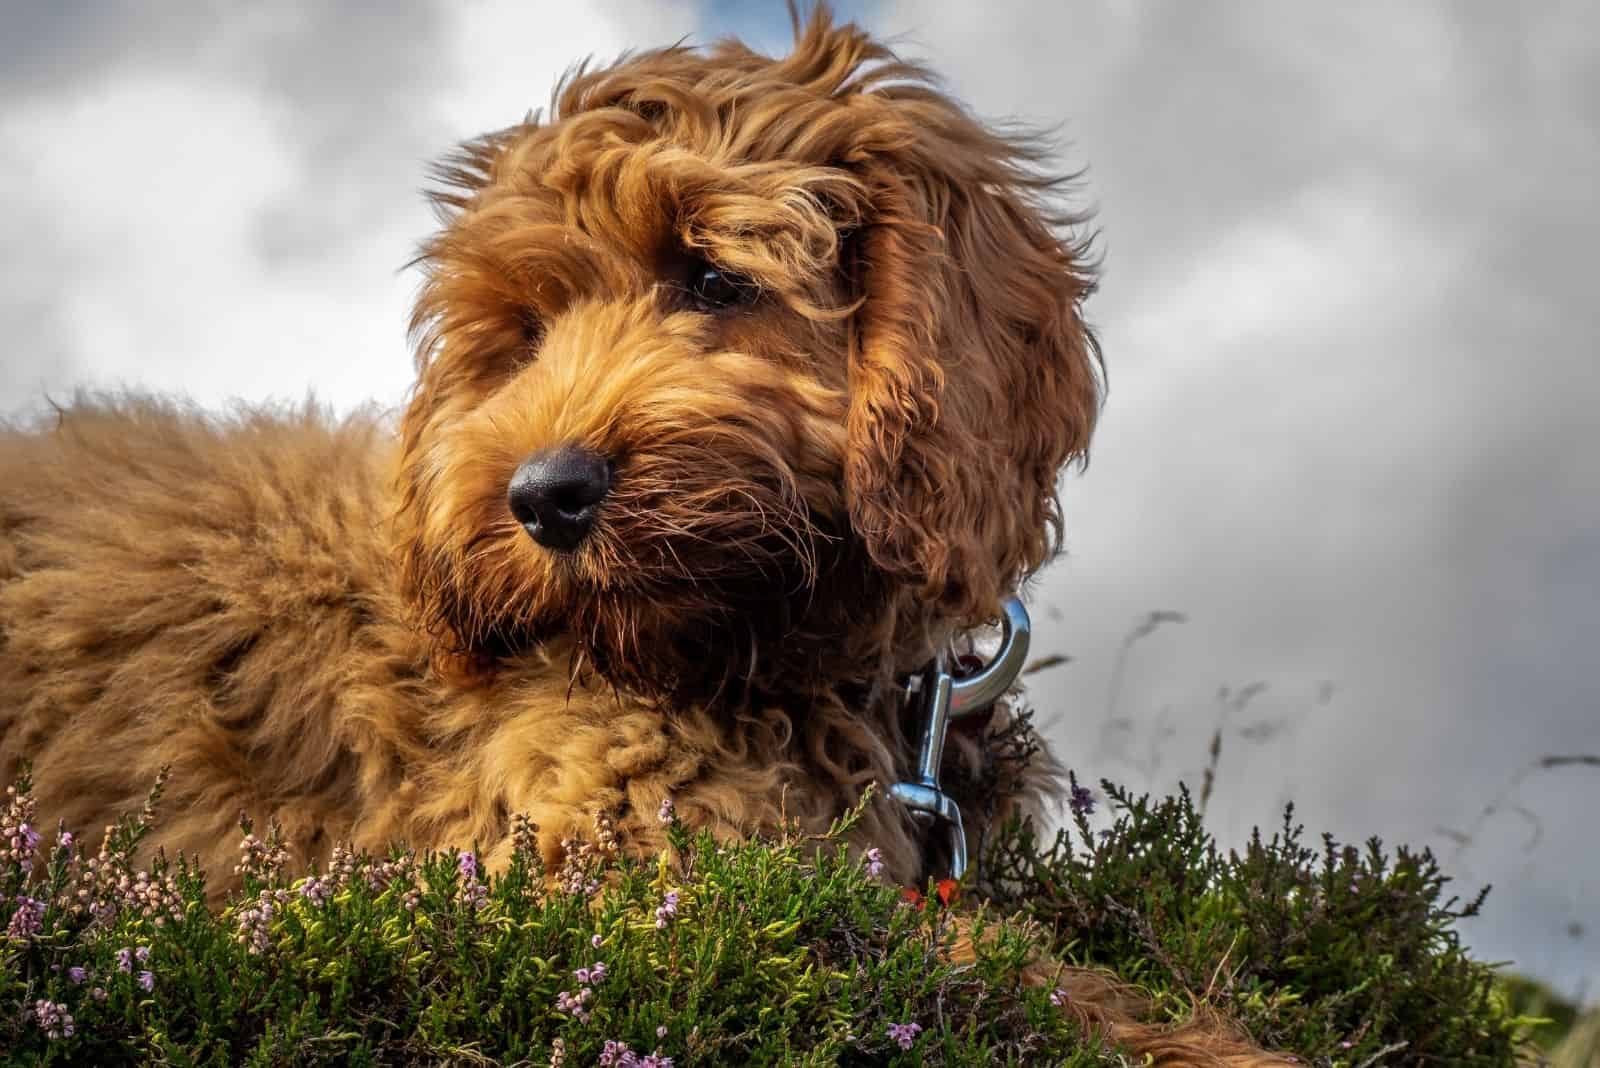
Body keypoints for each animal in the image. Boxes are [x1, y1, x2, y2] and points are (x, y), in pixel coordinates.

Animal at [0, 10, 1286, 1068]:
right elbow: (996, 973)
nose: (543, 496)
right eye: (524, 331)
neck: (776, 658)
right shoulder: (614, 865)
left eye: (712, 277)